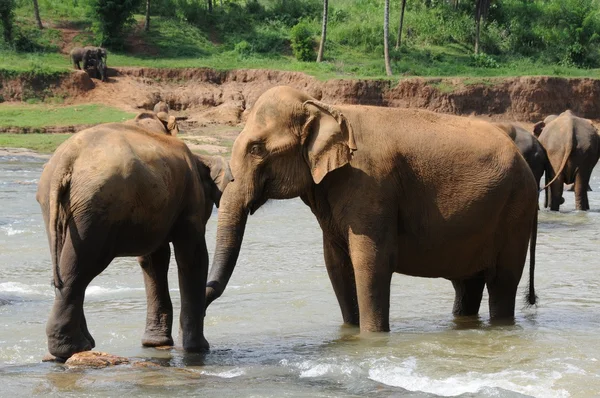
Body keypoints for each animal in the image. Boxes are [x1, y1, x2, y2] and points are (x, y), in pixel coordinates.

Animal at [35, 111, 232, 360]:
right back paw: (73, 348)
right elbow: (192, 257)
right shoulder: (190, 201)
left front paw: (155, 344)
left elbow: (154, 260)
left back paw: (78, 347)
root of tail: (67, 159)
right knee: (81, 267)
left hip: (58, 205)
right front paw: (198, 349)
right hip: (97, 208)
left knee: (66, 263)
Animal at [205, 85, 540, 334]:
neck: (324, 106)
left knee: (502, 283)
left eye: (256, 149)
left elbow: (372, 262)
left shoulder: (372, 185)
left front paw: (372, 339)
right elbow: (336, 265)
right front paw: (351, 334)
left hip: (516, 211)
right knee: (467, 284)